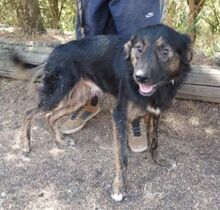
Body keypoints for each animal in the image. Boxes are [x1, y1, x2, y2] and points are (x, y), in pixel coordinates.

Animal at [16, 24, 192, 202]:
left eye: (165, 50)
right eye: (139, 49)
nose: (140, 77)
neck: (158, 90)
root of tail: (55, 50)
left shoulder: (155, 112)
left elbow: (154, 142)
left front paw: (158, 160)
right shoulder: (119, 115)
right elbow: (122, 156)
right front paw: (119, 187)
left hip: (78, 98)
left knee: (50, 116)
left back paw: (61, 141)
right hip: (56, 94)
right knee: (28, 113)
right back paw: (25, 144)